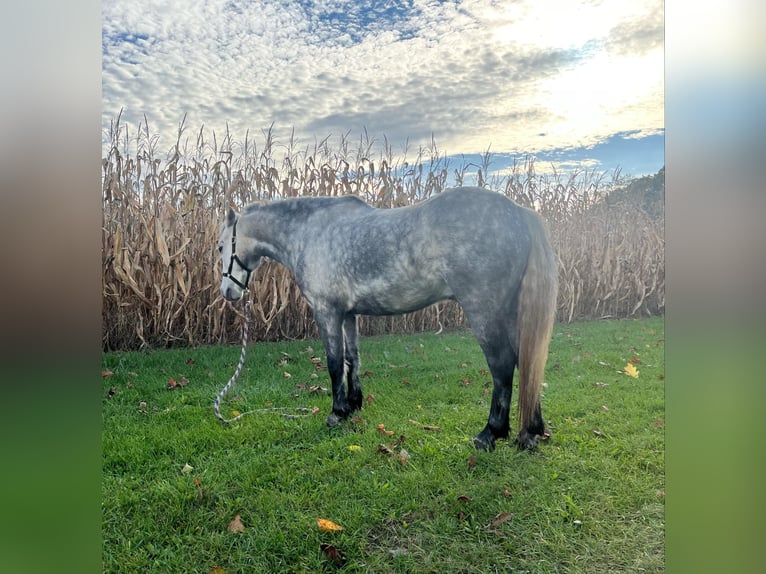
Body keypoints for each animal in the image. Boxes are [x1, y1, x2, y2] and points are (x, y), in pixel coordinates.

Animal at [218, 186, 558, 451]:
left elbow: (333, 363)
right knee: (526, 361)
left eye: (221, 246)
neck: (310, 232)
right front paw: (353, 406)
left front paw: (336, 413)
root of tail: (518, 212)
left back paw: (490, 434)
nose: (227, 292)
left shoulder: (327, 311)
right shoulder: (349, 314)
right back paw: (531, 432)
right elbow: (352, 359)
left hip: (484, 310)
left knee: (502, 365)